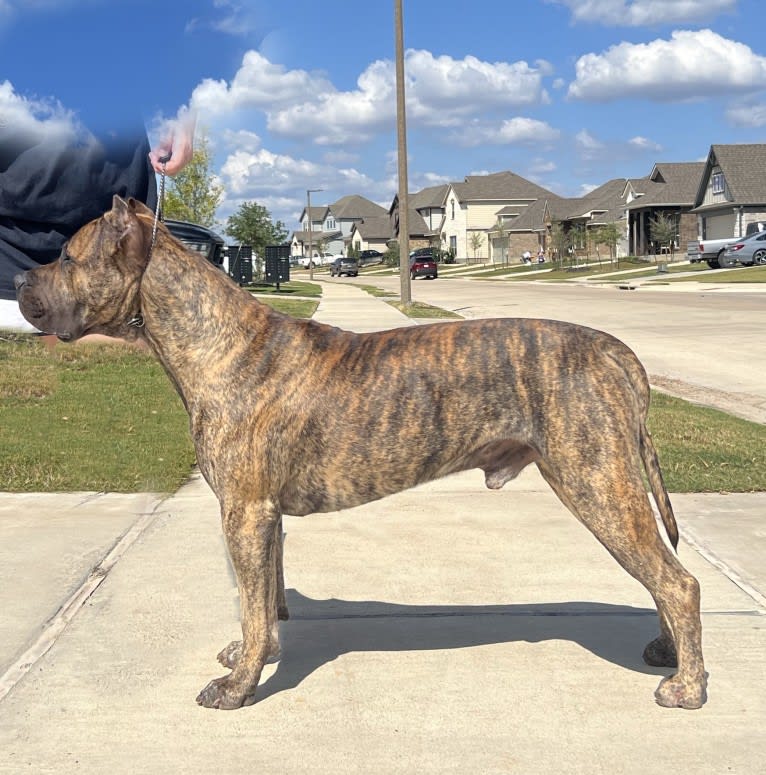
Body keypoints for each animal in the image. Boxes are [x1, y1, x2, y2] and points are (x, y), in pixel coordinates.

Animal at [13, 199, 708, 708]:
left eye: (68, 255)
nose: (19, 278)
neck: (216, 342)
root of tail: (617, 353)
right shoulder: (264, 518)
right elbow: (263, 601)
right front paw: (255, 656)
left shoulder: (244, 511)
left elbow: (252, 603)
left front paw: (238, 688)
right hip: (607, 485)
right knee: (663, 576)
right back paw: (669, 654)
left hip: (598, 483)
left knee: (678, 581)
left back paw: (687, 685)